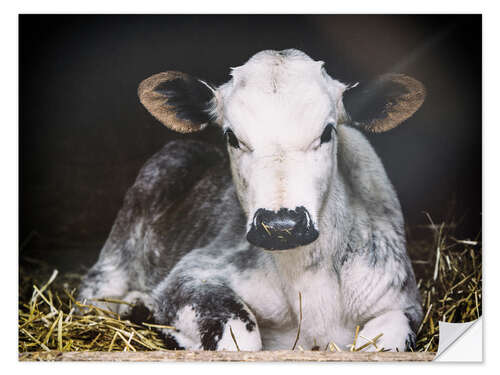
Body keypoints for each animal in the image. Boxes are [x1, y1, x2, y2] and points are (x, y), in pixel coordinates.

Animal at [80, 49, 424, 352]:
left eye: (327, 132)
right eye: (232, 136)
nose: (282, 224)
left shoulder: (403, 302)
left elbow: (384, 343)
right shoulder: (190, 275)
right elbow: (241, 338)